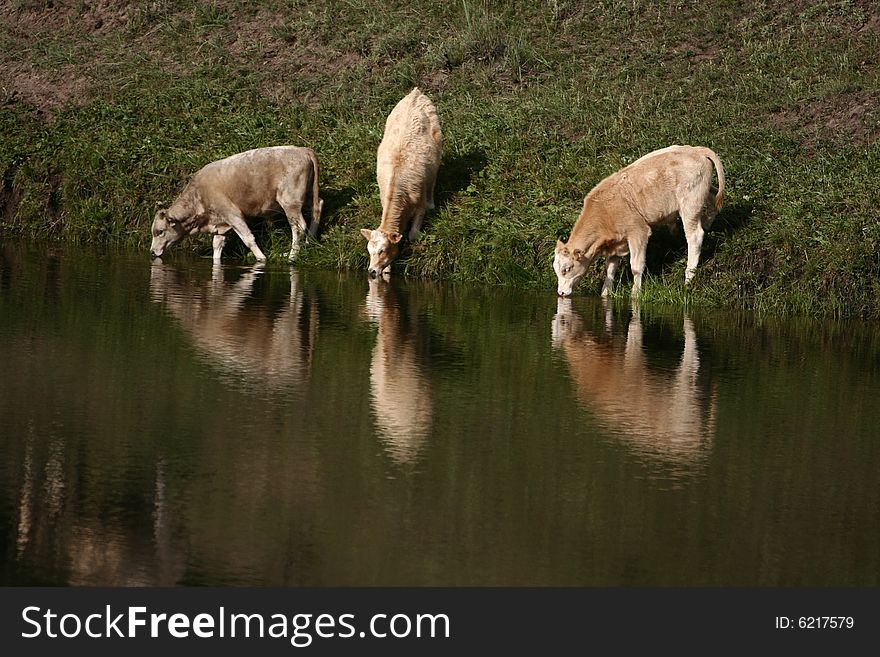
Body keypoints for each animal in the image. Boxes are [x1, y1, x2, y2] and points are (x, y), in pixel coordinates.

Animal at [151, 145, 324, 262]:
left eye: (160, 231)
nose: (152, 252)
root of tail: (302, 149)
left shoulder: (232, 214)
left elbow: (248, 238)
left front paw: (262, 259)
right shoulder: (220, 223)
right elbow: (217, 245)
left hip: (289, 199)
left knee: (298, 226)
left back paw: (292, 256)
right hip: (308, 194)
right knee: (318, 207)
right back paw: (310, 241)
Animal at [360, 87, 444, 276]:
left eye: (382, 250)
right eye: (369, 251)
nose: (371, 271)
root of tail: (415, 92)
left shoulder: (419, 204)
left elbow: (413, 234)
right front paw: (386, 269)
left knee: (433, 180)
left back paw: (432, 202)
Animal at [552, 146, 724, 298]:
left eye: (566, 269)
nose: (561, 293)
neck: (604, 212)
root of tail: (697, 150)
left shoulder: (638, 231)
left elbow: (636, 267)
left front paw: (635, 295)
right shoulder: (617, 242)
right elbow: (610, 269)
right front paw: (605, 294)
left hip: (689, 204)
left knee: (695, 236)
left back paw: (689, 277)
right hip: (702, 195)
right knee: (713, 199)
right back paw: (708, 224)